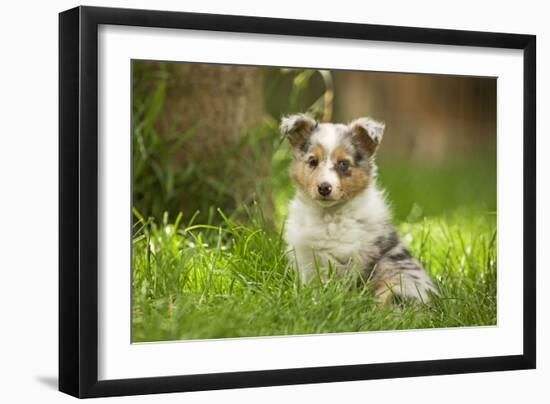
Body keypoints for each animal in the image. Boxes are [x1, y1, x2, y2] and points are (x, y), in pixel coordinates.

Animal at [282, 113, 438, 304]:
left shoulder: (348, 260)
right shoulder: (306, 260)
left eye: (343, 163)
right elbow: (312, 288)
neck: (328, 215)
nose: (324, 188)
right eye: (312, 161)